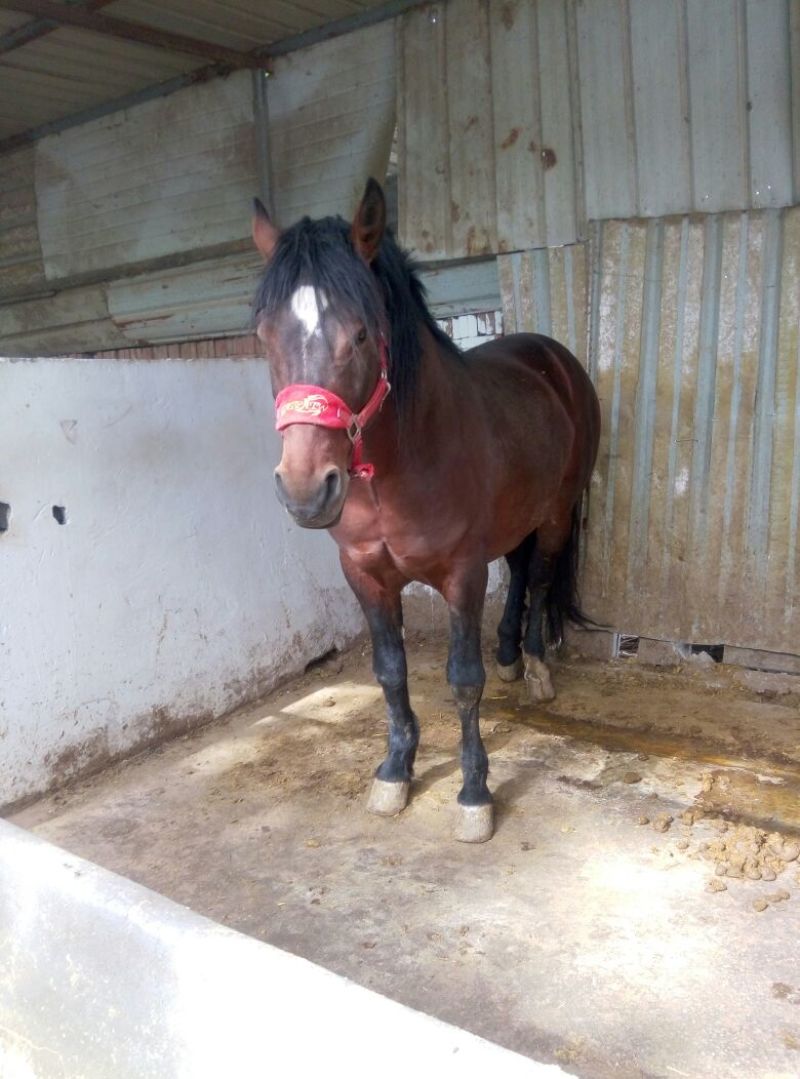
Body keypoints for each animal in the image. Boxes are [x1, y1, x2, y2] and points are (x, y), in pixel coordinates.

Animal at [251, 178, 600, 843]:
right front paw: (395, 772)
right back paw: (512, 656)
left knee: (541, 577)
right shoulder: (364, 574)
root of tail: (556, 360)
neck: (403, 461)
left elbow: (464, 682)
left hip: (554, 514)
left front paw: (474, 794)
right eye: (264, 337)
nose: (306, 490)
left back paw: (536, 668)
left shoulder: (462, 574)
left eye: (361, 335)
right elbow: (390, 672)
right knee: (520, 573)